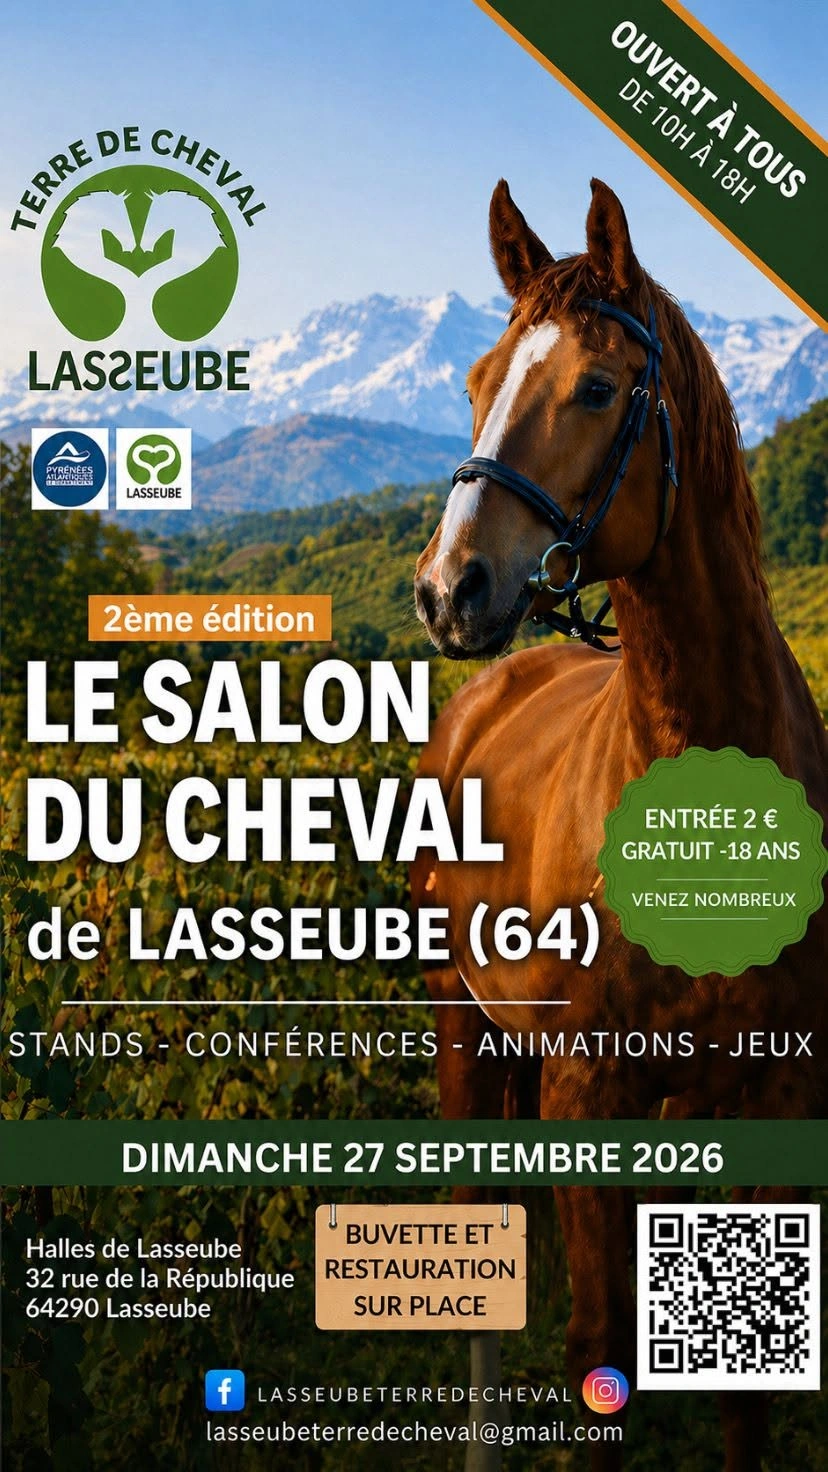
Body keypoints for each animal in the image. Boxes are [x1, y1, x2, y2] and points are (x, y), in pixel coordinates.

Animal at [410, 178, 827, 1470]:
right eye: (477, 377)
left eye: (597, 388)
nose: (448, 590)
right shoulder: (585, 1092)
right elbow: (598, 1351)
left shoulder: (773, 1103)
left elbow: (748, 1385)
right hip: (463, 1026)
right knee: (477, 1237)